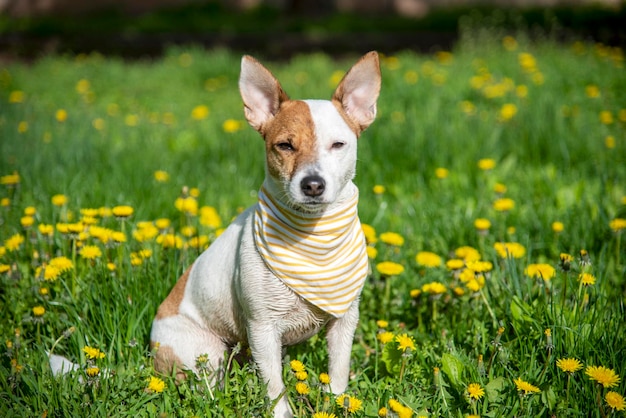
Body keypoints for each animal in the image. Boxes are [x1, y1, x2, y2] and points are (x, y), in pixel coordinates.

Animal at [149, 50, 380, 416]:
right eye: (284, 145)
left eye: (338, 144)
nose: (312, 184)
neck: (312, 238)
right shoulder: (262, 329)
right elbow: (274, 388)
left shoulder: (344, 322)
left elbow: (338, 373)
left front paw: (336, 403)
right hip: (206, 353)